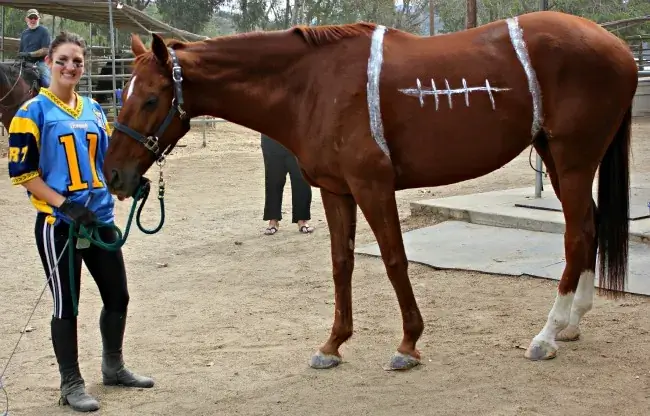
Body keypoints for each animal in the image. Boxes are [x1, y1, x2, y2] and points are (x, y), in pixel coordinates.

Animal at [98, 11, 636, 370]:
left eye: (151, 99)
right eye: (124, 93)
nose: (115, 176)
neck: (313, 84)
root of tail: (621, 49)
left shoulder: (372, 185)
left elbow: (395, 258)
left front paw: (408, 343)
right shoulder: (336, 190)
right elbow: (342, 263)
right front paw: (333, 344)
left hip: (572, 157)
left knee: (576, 233)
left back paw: (547, 334)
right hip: (555, 155)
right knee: (587, 228)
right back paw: (572, 323)